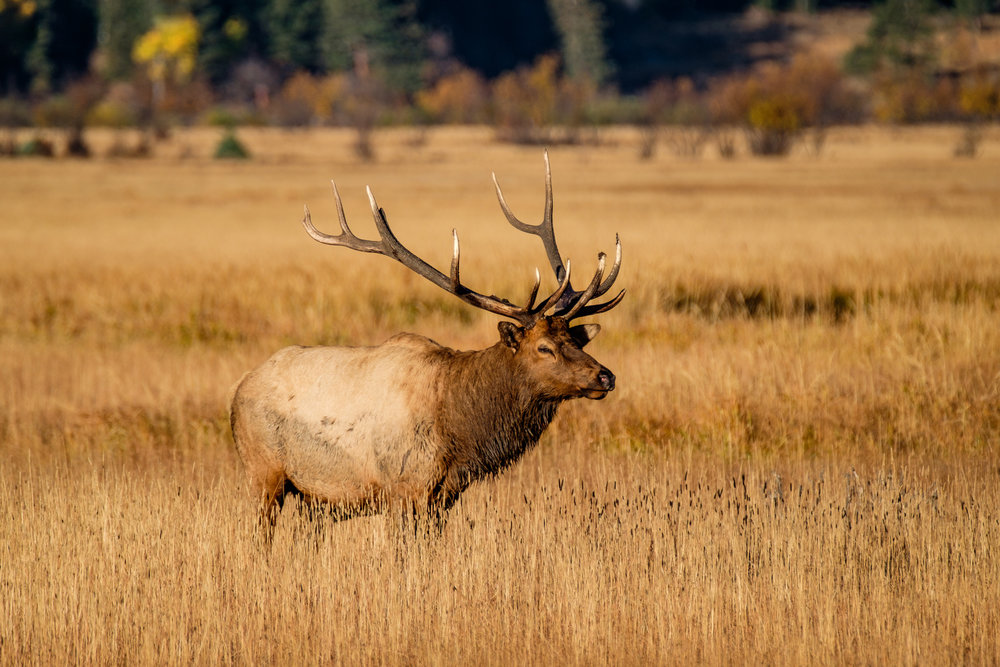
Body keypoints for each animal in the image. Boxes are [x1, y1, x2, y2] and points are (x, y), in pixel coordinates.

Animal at [232, 153, 624, 536]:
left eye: (574, 339)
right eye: (544, 347)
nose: (605, 376)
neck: (460, 429)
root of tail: (238, 390)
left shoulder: (444, 495)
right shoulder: (403, 488)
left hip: (312, 498)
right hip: (262, 471)